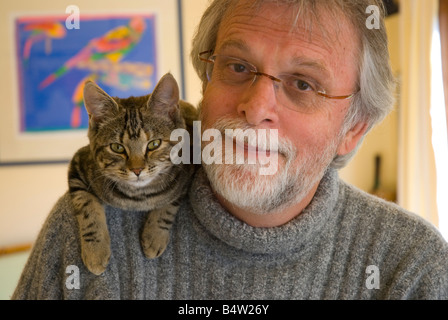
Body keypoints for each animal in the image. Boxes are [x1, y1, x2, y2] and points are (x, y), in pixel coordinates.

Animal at [68, 73, 196, 276]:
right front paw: (96, 250)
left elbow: (169, 204)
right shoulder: (79, 164)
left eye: (154, 144)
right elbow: (86, 205)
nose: (137, 170)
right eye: (117, 147)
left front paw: (154, 235)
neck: (139, 197)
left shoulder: (187, 173)